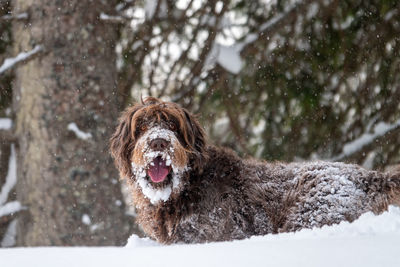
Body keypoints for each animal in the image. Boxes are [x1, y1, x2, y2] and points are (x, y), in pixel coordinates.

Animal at [111, 97, 400, 245]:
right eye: (142, 125)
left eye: (172, 124)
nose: (159, 142)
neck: (184, 189)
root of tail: (370, 176)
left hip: (312, 211)